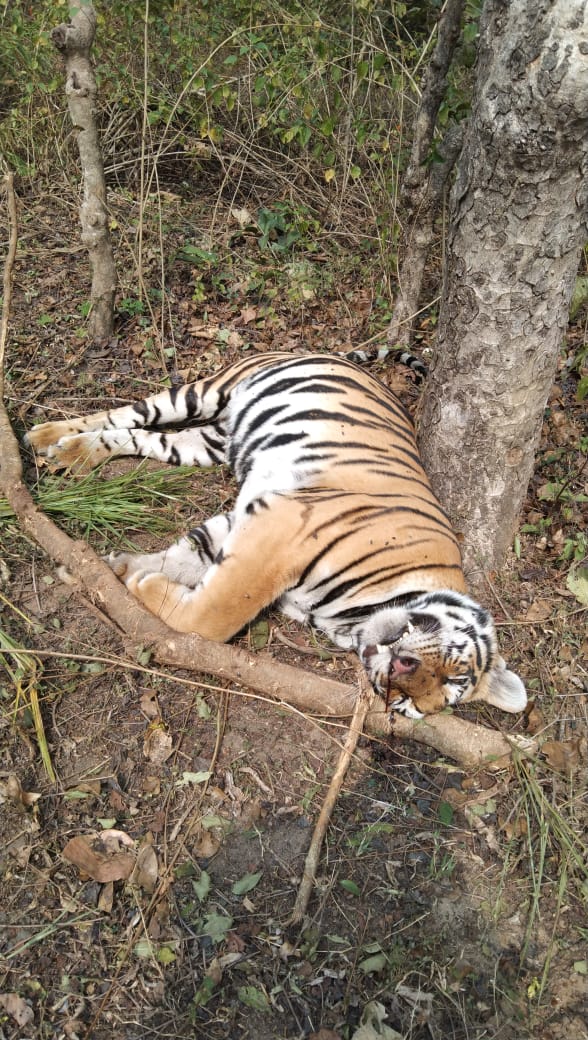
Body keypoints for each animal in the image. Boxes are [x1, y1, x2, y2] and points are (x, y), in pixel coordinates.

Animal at [25, 351, 526, 718]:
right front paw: (136, 581)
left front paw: (121, 570)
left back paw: (72, 451)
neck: (349, 620)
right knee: (128, 410)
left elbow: (188, 557)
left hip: (205, 443)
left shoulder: (254, 518)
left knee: (137, 436)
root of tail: (339, 355)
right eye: (453, 673)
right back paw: (46, 435)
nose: (401, 671)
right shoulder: (282, 533)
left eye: (405, 703)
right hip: (206, 392)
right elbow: (212, 617)